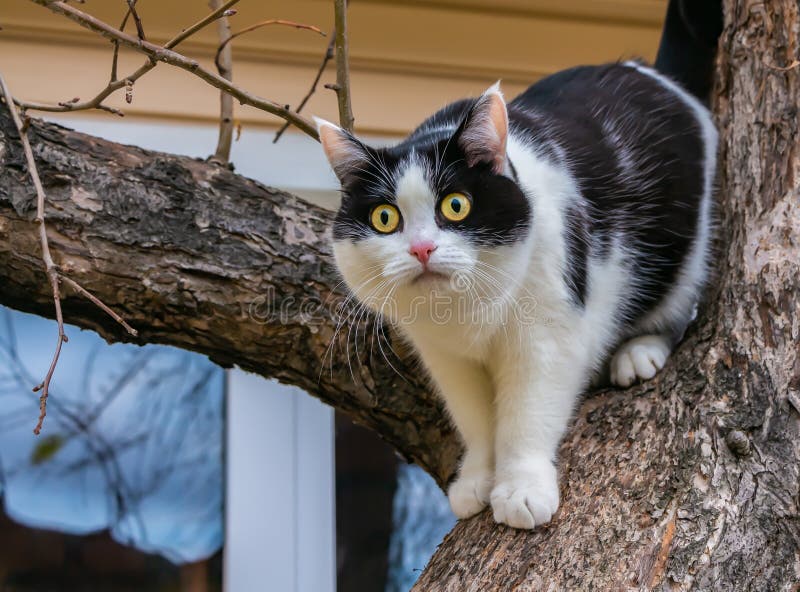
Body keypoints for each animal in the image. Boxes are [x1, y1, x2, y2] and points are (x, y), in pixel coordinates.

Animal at [316, 0, 720, 528]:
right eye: (385, 218)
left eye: (456, 206)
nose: (422, 249)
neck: (467, 314)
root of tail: (649, 73)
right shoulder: (446, 358)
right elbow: (475, 420)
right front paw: (477, 480)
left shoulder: (549, 332)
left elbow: (527, 415)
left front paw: (522, 488)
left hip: (686, 248)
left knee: (676, 305)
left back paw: (639, 351)